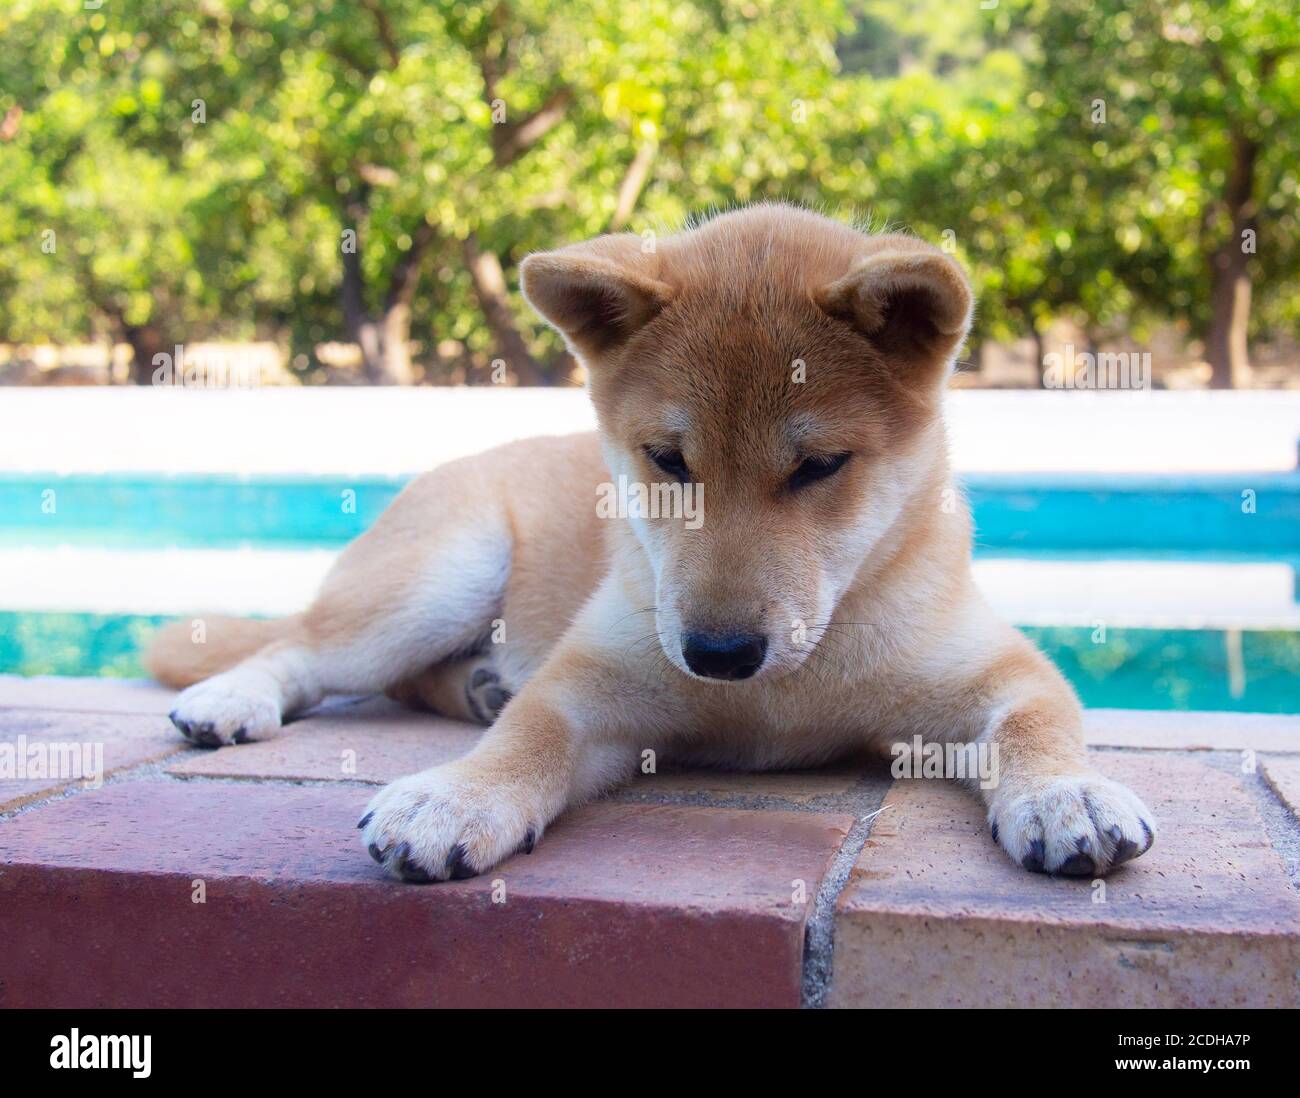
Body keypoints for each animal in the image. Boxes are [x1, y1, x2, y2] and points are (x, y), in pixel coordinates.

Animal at [149, 204, 1159, 883]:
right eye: (668, 459)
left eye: (820, 466)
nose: (719, 653)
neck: (778, 697)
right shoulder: (594, 685)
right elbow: (532, 730)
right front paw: (458, 795)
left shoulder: (991, 671)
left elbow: (1038, 720)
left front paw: (1067, 792)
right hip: (438, 578)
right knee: (303, 648)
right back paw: (234, 698)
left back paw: (474, 685)